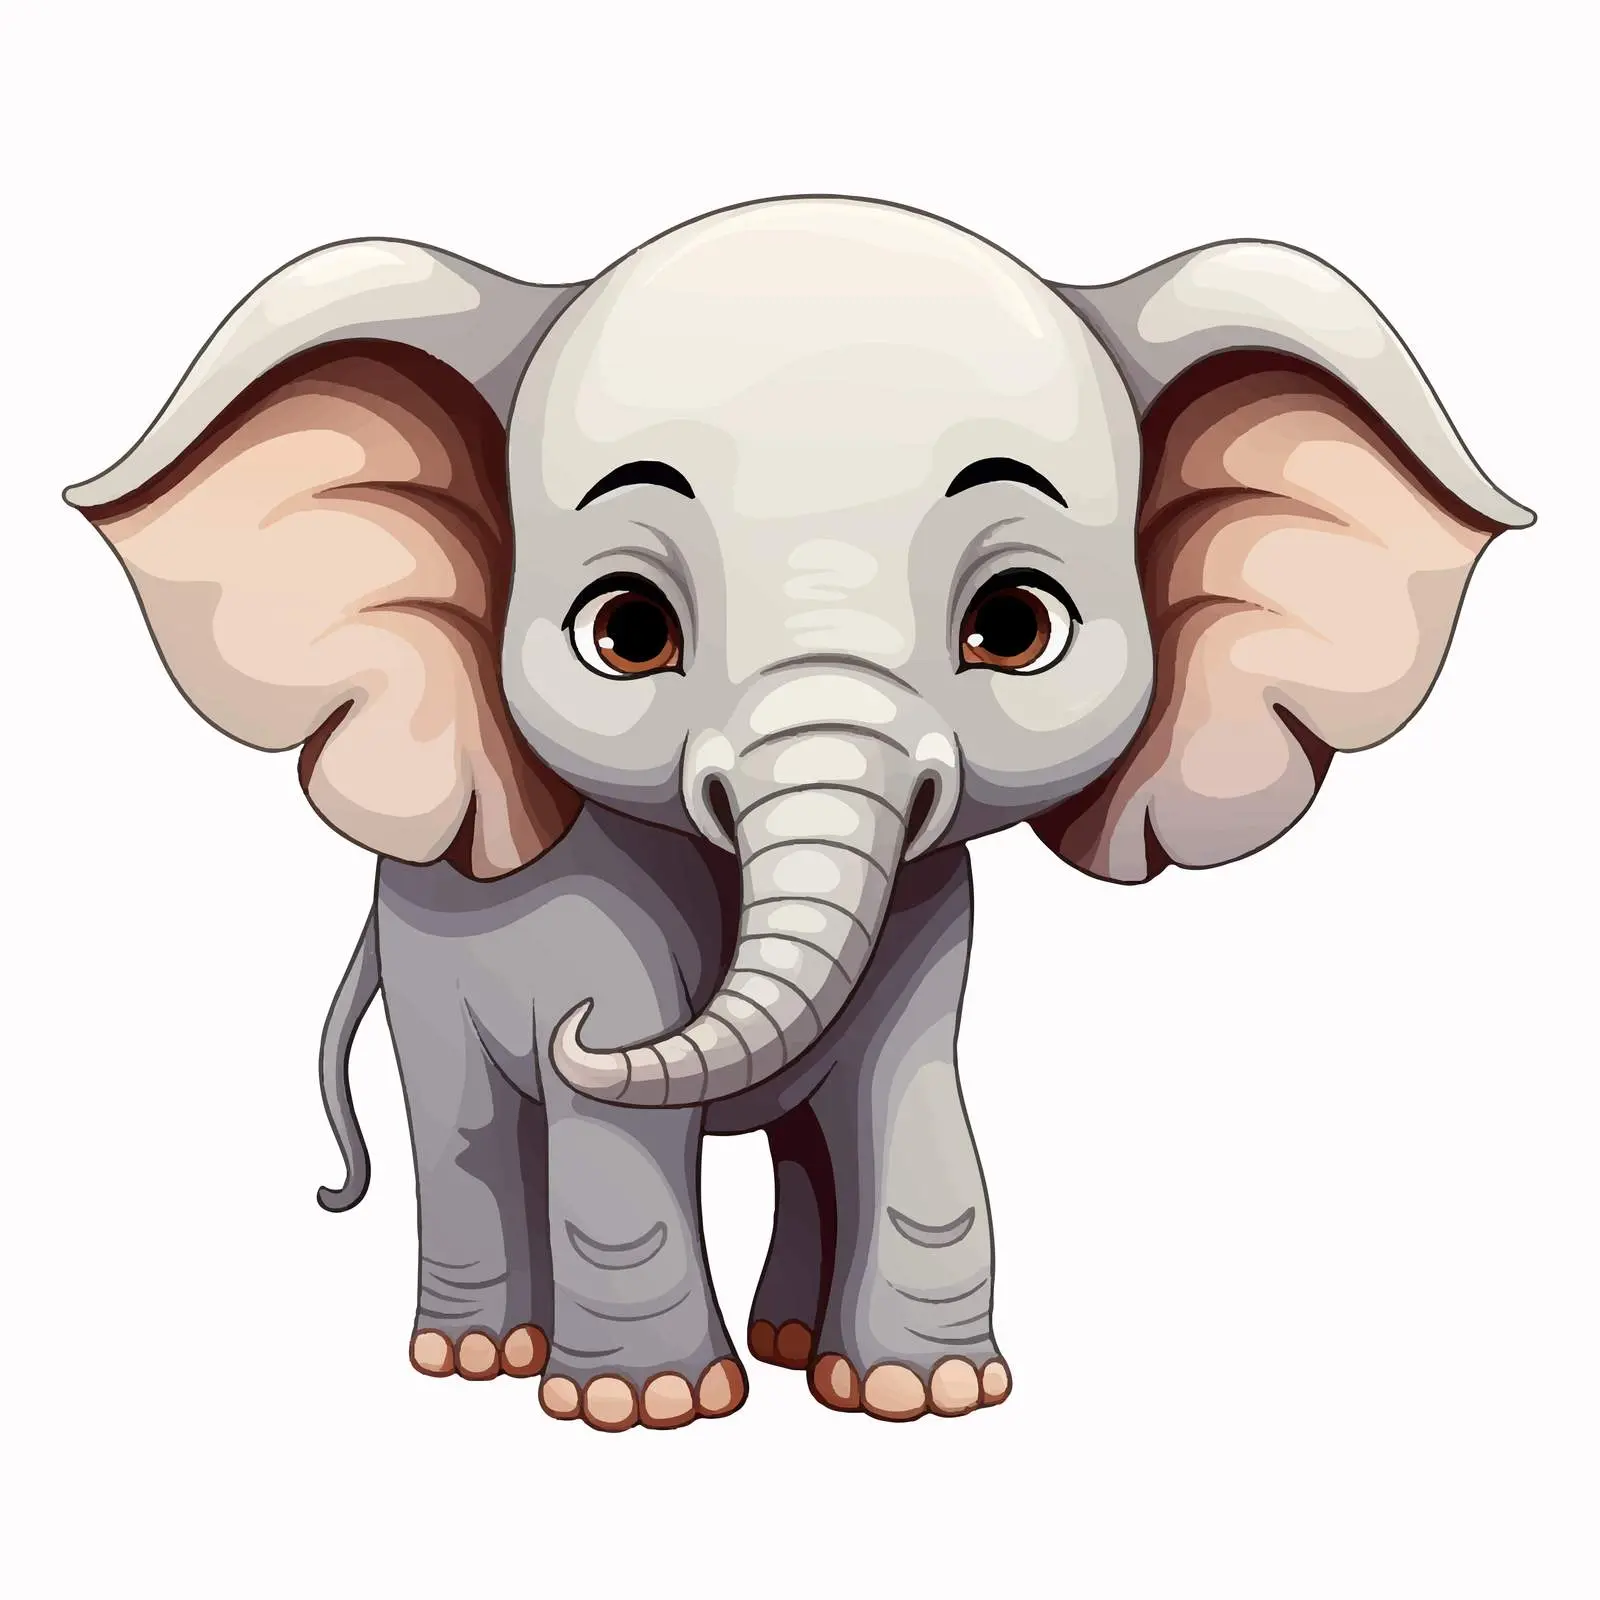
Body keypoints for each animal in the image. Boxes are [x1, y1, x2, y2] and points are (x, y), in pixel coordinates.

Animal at [67, 196, 1532, 1431]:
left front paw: (921, 1398)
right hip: (429, 961)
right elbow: (616, 1123)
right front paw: (649, 1412)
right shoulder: (589, 901)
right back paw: (481, 1360)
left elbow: (906, 1090)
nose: (581, 1031)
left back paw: (785, 1351)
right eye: (626, 632)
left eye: (1015, 627)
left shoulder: (931, 904)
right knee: (472, 1127)